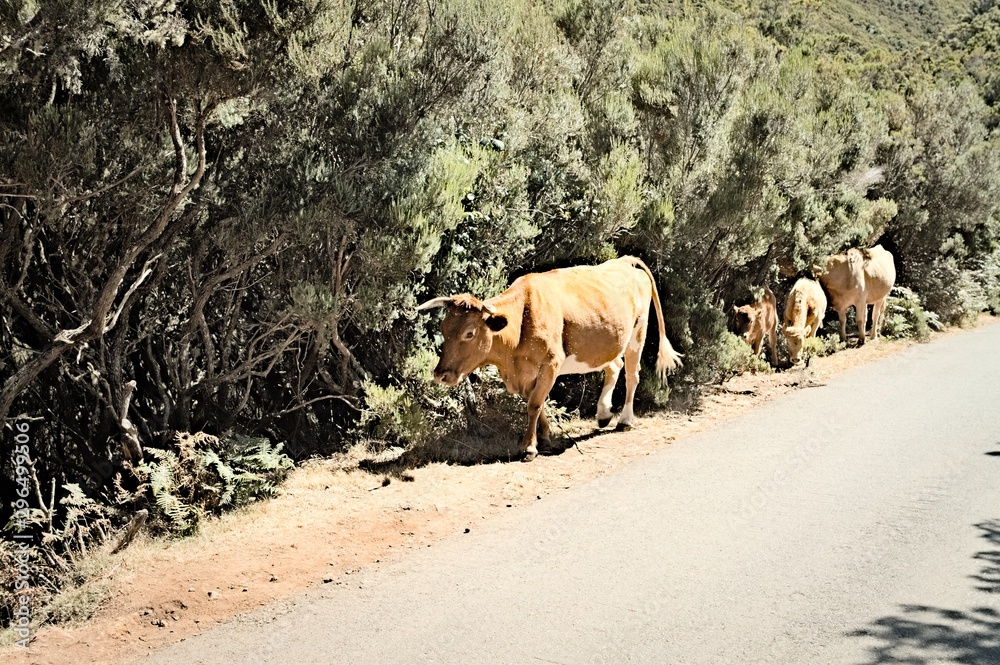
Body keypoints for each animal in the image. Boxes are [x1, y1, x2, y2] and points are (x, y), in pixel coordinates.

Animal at [417, 256, 683, 462]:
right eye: (443, 328)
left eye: (469, 333)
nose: (441, 374)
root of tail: (624, 261)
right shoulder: (525, 373)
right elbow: (537, 402)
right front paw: (544, 437)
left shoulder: (551, 364)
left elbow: (535, 403)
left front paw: (529, 447)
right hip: (609, 342)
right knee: (614, 368)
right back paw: (603, 414)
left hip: (637, 333)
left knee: (632, 375)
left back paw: (625, 420)